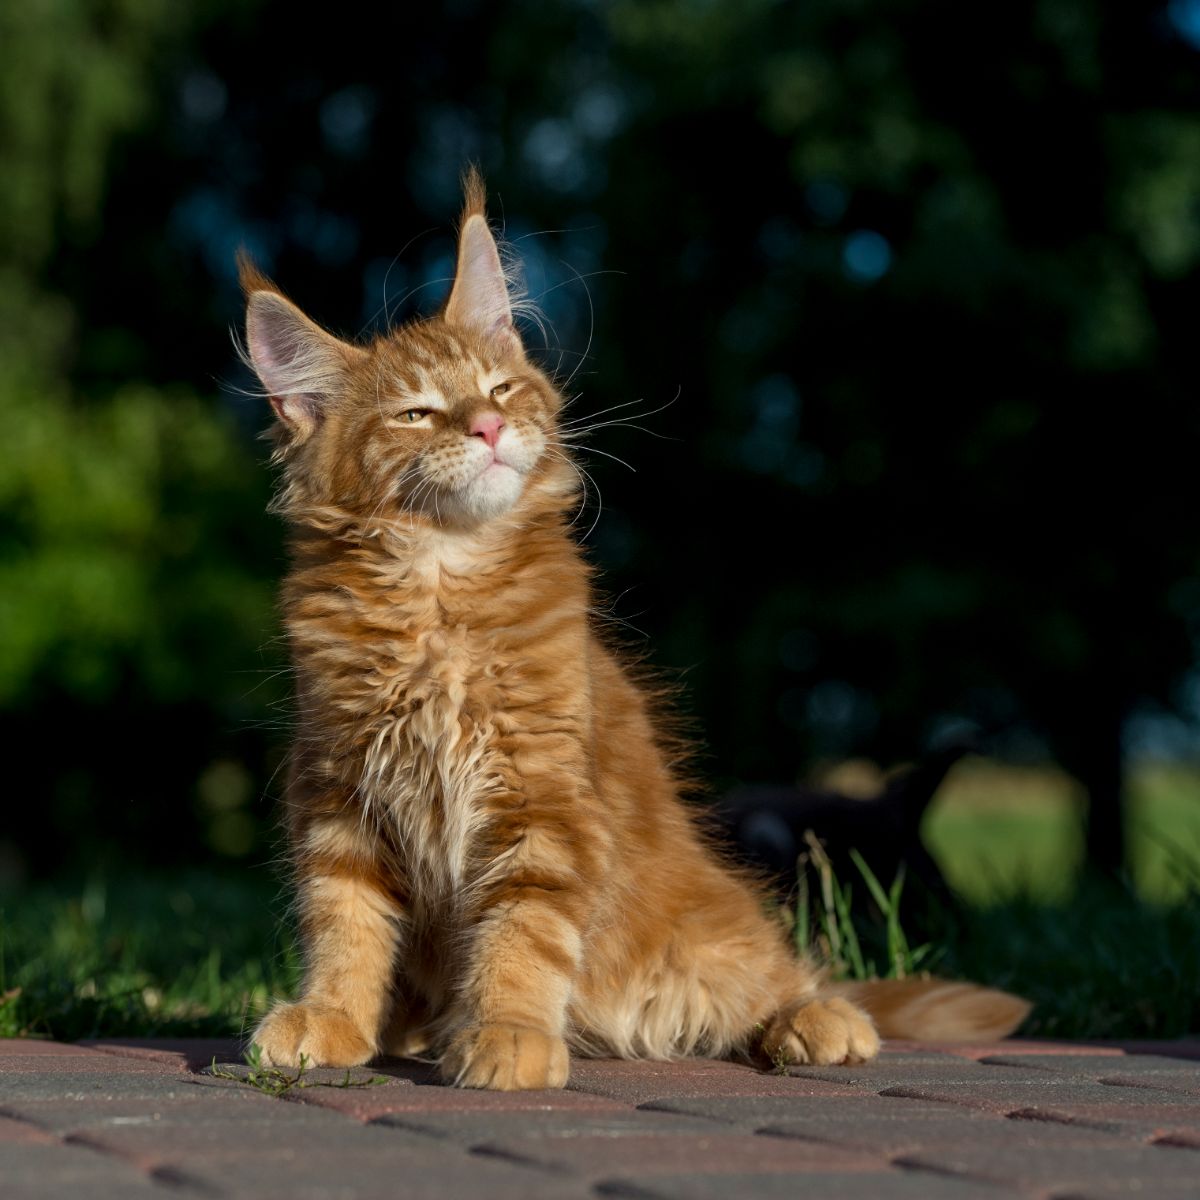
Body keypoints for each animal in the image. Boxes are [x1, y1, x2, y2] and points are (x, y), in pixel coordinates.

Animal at [243, 171, 1032, 1089]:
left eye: (500, 389)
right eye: (415, 414)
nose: (486, 427)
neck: (439, 585)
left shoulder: (542, 801)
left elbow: (520, 932)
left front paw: (508, 1029)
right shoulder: (339, 797)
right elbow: (345, 923)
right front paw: (334, 1015)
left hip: (712, 930)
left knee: (783, 973)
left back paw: (819, 1019)